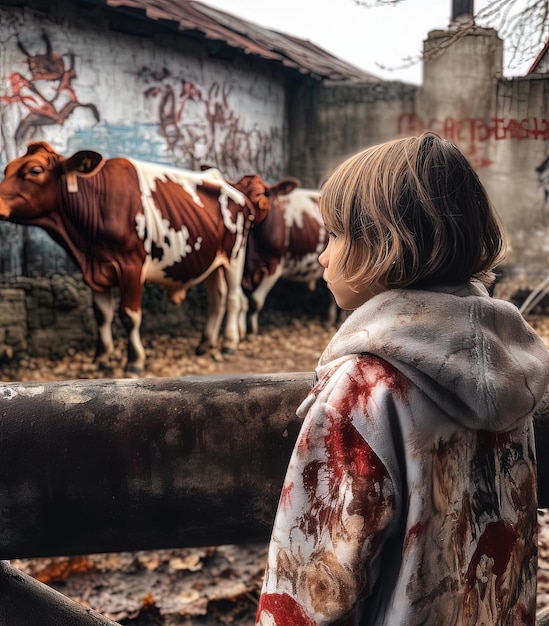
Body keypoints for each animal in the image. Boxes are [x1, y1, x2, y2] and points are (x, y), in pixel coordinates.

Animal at [0, 141, 298, 370]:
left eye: (34, 170)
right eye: (6, 170)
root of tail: (229, 184)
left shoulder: (131, 265)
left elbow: (129, 315)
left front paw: (135, 360)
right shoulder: (95, 269)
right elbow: (102, 315)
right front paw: (102, 358)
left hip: (235, 254)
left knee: (235, 298)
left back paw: (229, 342)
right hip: (213, 260)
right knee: (218, 299)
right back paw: (205, 343)